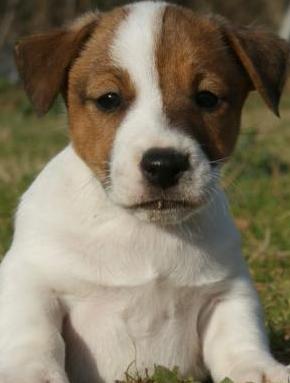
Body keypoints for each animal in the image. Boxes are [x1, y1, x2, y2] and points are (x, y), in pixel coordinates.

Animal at [0, 2, 290, 383]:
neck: (141, 228)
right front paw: (33, 373)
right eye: (109, 99)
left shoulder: (227, 291)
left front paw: (258, 369)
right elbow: (34, 336)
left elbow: (240, 338)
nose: (164, 165)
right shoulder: (30, 279)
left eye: (207, 98)